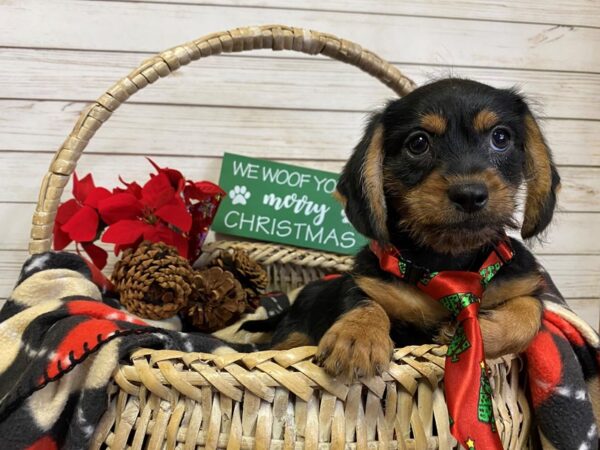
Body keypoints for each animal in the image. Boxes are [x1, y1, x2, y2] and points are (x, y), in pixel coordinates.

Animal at [241, 79, 560, 382]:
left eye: (500, 137)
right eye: (418, 143)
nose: (470, 194)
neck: (446, 259)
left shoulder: (523, 285)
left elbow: (530, 312)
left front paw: (481, 331)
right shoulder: (365, 281)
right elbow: (364, 302)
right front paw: (357, 338)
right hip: (292, 332)